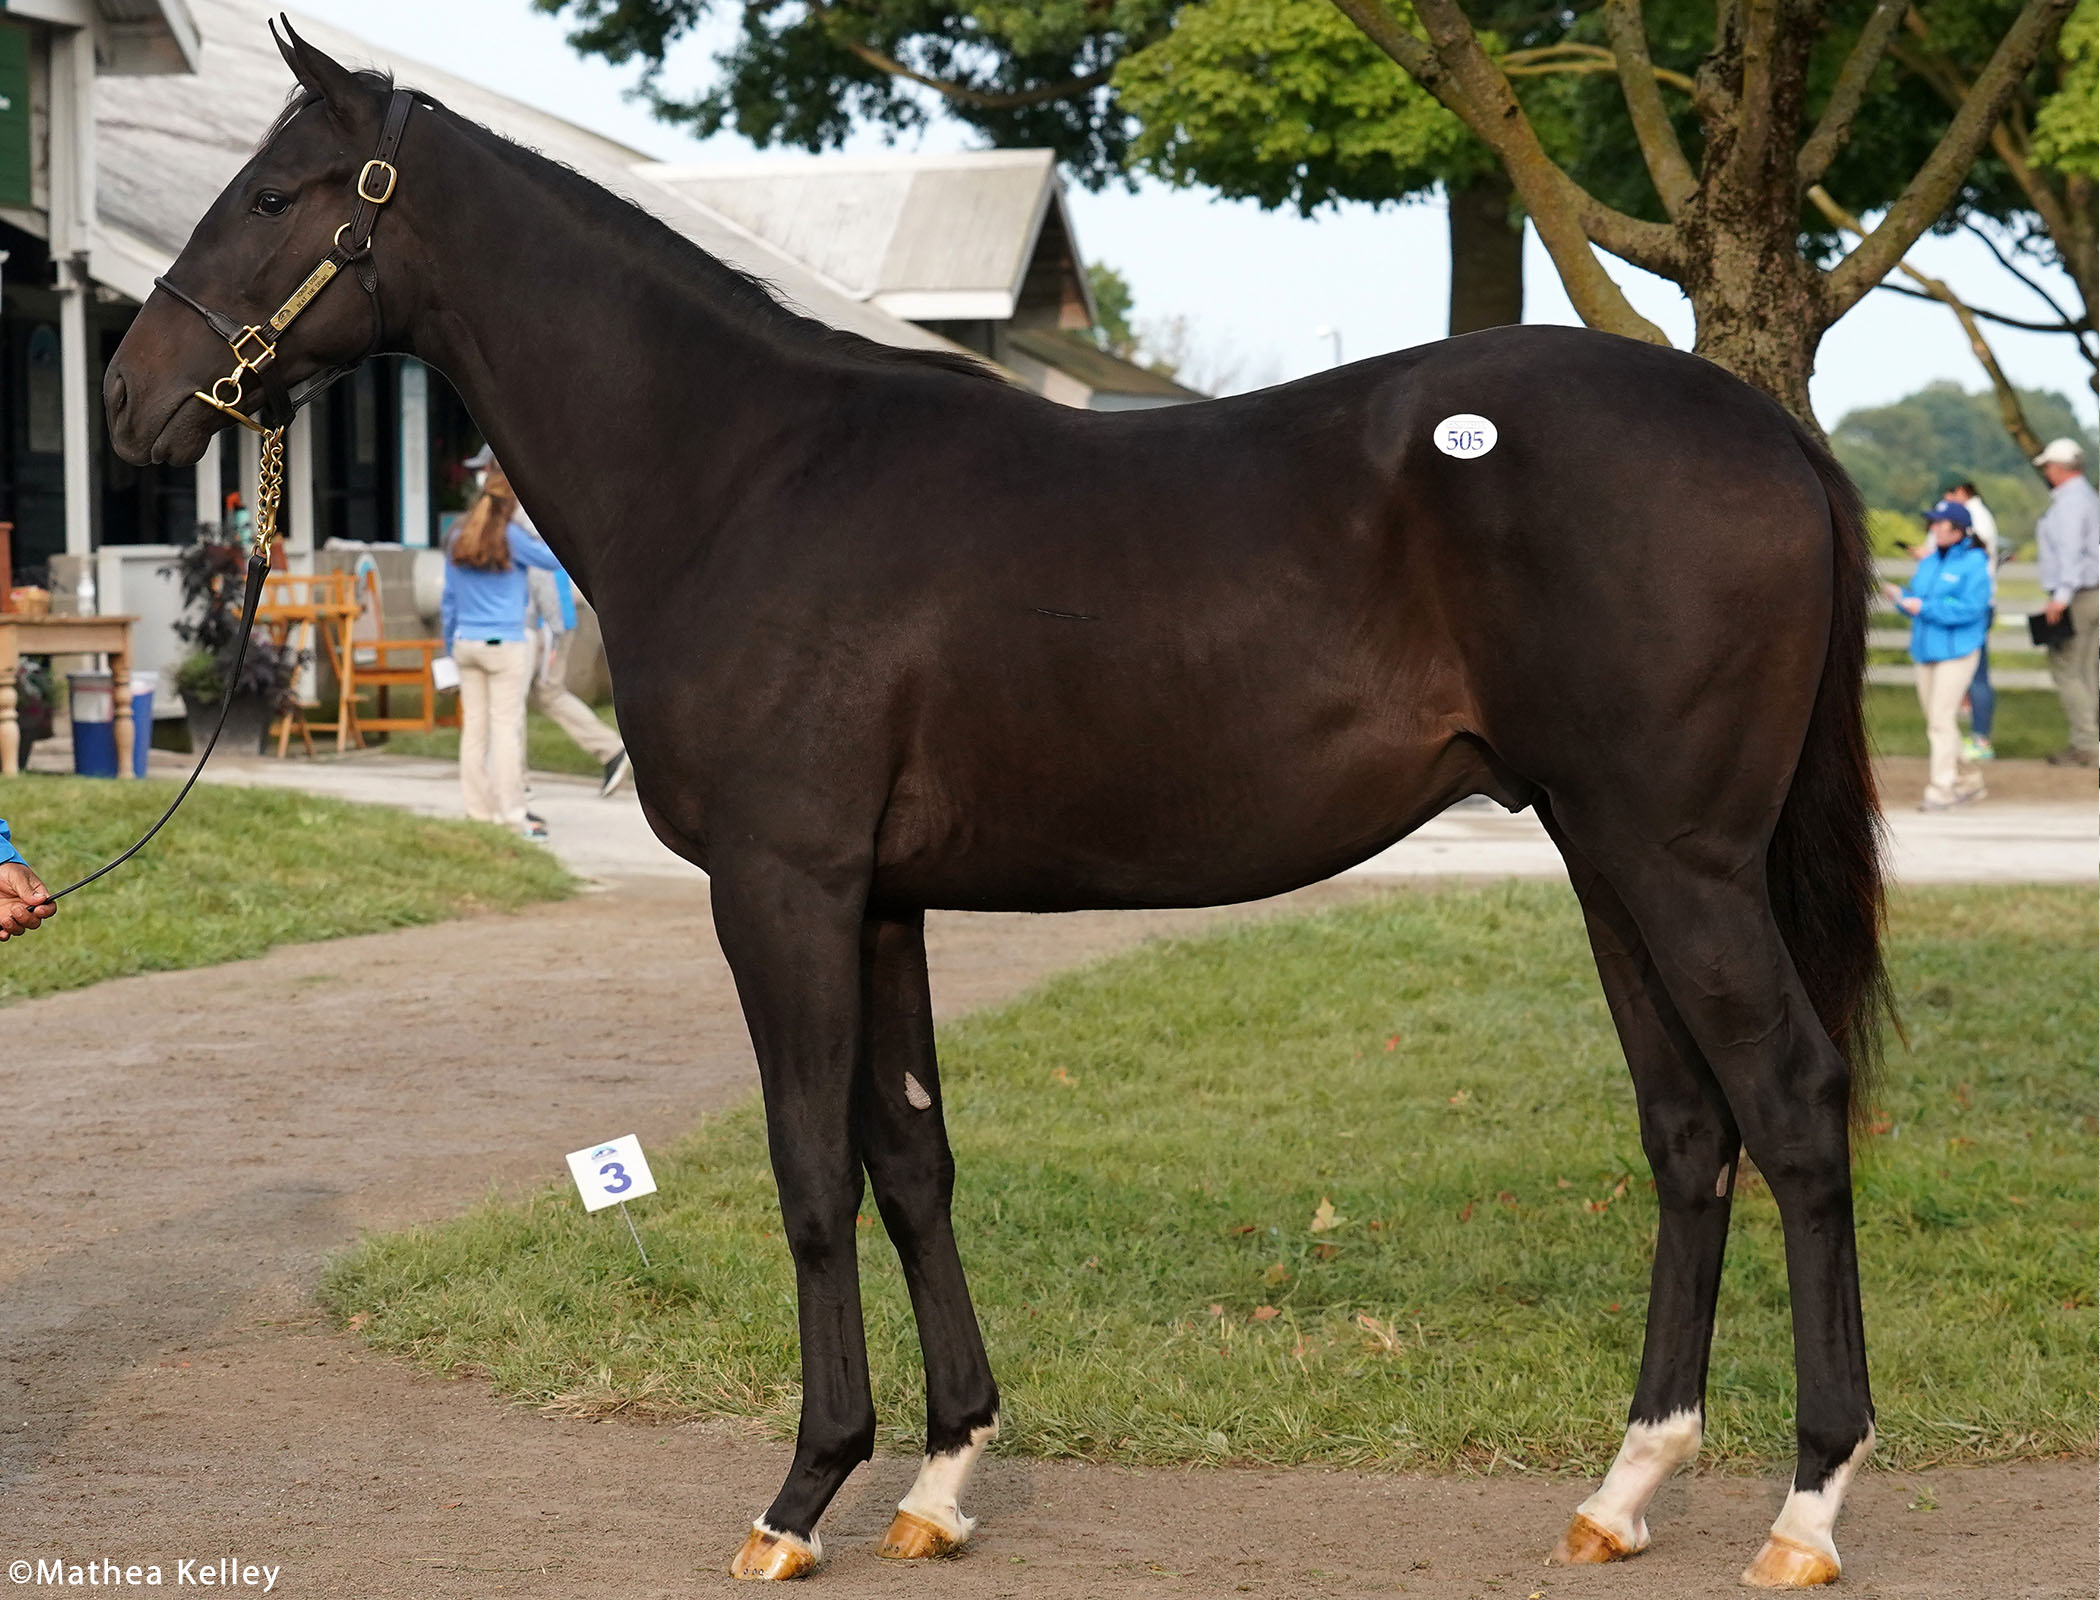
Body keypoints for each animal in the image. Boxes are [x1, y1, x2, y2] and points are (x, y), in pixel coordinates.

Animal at [102, 24, 1889, 1587]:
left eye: (272, 196)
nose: (128, 398)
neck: (746, 473)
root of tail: (1767, 432)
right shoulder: (881, 896)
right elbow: (912, 1160)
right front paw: (943, 1477)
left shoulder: (784, 886)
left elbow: (810, 1171)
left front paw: (802, 1496)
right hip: (1605, 850)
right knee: (1688, 1129)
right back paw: (1626, 1490)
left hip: (1678, 857)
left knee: (1794, 1107)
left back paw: (1809, 1510)